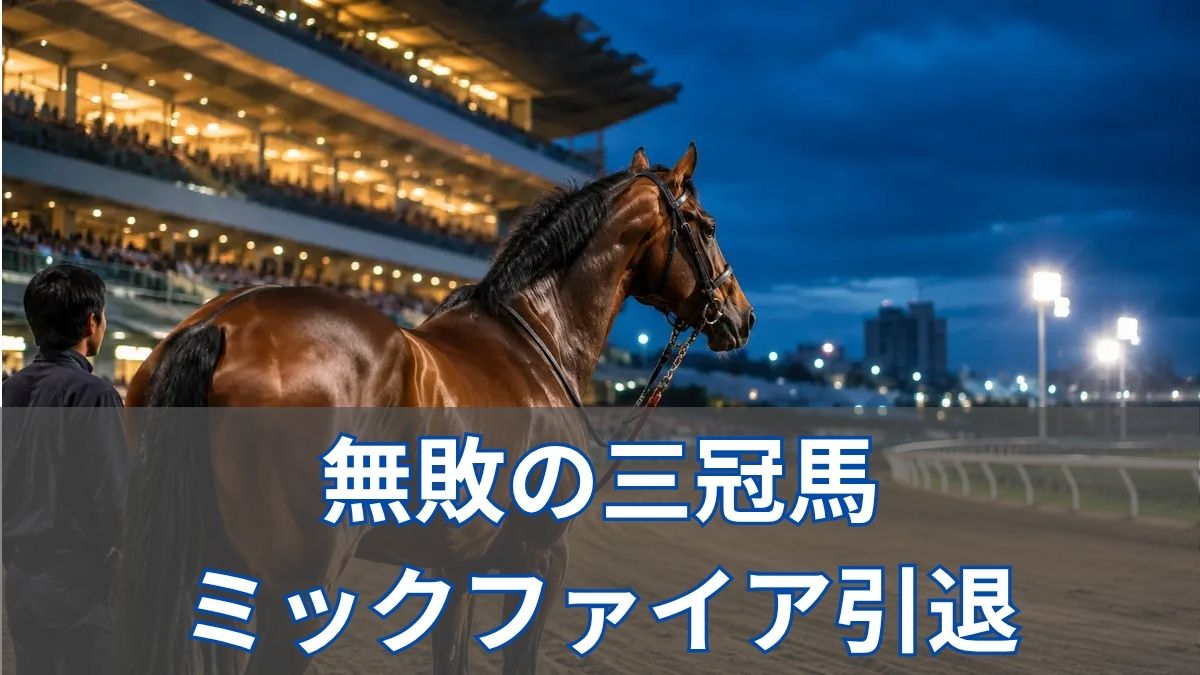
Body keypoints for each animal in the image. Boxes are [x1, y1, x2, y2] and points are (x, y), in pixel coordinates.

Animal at [116, 143, 755, 675]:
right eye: (708, 227)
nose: (741, 315)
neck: (537, 341)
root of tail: (221, 327)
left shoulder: (456, 568)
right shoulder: (543, 557)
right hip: (300, 580)